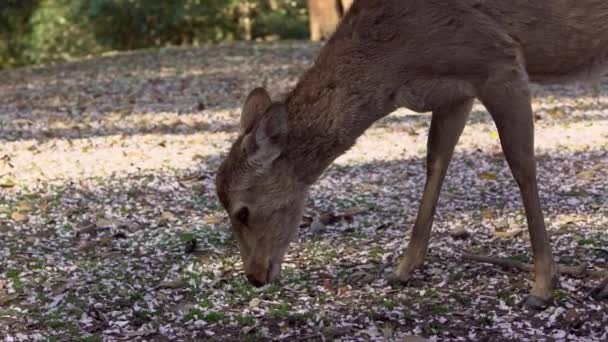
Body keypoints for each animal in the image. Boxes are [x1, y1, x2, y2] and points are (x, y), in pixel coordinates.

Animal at [215, 0, 608, 310]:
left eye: (243, 212)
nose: (253, 275)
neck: (398, 66)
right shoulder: (455, 93)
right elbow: (435, 160)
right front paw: (403, 269)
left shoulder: (499, 60)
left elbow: (521, 165)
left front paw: (542, 286)